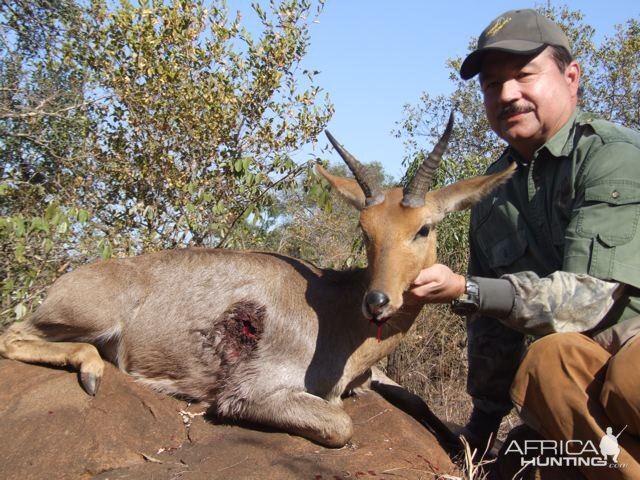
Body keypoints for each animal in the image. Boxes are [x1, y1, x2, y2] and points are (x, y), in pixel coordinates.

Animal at [0, 115, 512, 446]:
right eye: (365, 229)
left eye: (423, 228)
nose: (378, 301)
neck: (340, 314)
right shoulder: (255, 393)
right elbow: (341, 425)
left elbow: (421, 403)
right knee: (13, 335)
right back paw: (92, 370)